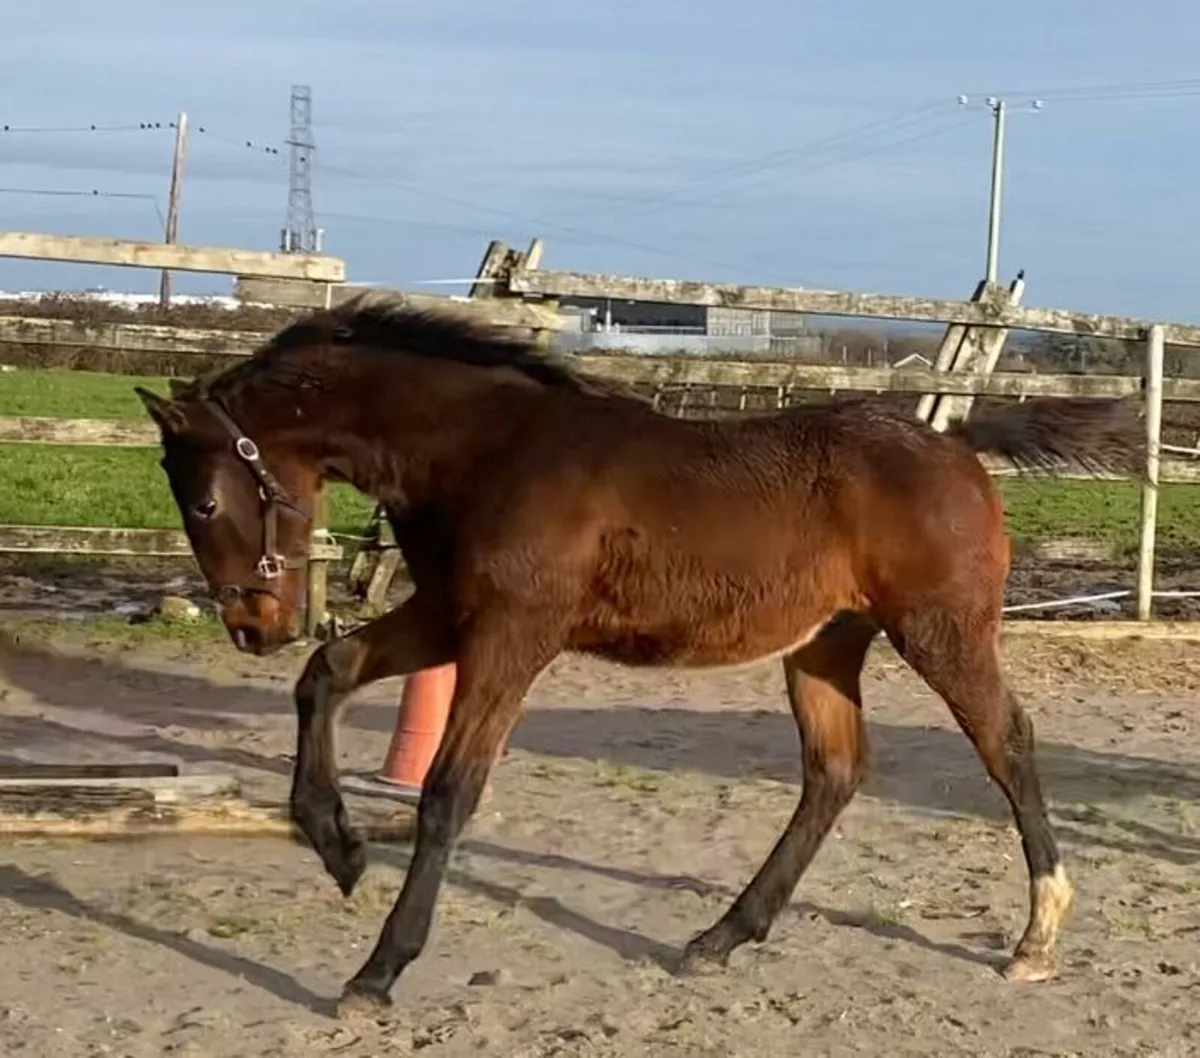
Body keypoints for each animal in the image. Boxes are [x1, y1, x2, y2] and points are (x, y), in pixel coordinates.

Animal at [135, 293, 1142, 1016]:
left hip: (941, 632)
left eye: (205, 501)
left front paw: (379, 971)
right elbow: (329, 674)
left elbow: (449, 792)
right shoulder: (450, 615)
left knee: (1006, 744)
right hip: (824, 646)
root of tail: (958, 443)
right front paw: (338, 847)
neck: (487, 451)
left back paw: (1035, 938)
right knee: (835, 771)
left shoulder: (512, 633)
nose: (253, 625)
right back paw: (721, 937)